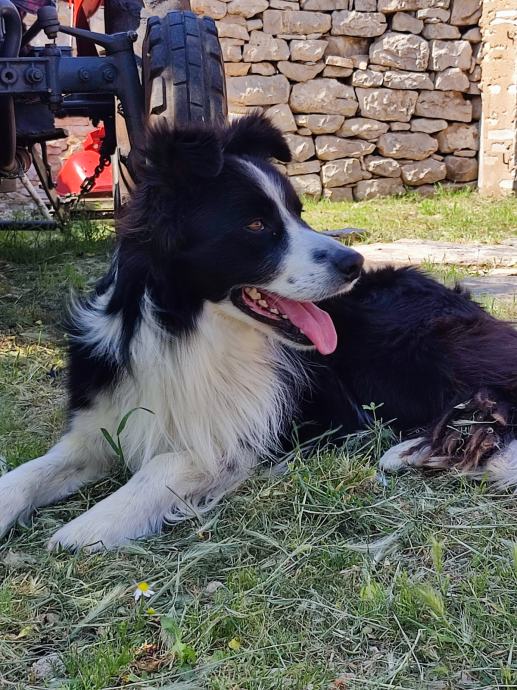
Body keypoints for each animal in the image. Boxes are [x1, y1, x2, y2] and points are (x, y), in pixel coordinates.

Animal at [0, 114, 516, 551]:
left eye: (300, 213)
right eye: (256, 224)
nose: (354, 263)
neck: (191, 331)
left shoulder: (253, 434)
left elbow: (168, 461)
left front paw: (90, 525)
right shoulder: (100, 421)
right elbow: (28, 473)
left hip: (399, 357)